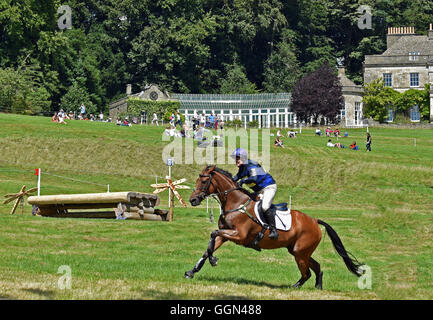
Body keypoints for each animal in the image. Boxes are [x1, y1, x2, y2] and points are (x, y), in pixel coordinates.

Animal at [184, 166, 362, 288]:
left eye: (204, 181)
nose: (192, 200)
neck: (236, 203)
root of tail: (315, 220)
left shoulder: (239, 235)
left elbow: (213, 234)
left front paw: (213, 260)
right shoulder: (226, 234)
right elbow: (209, 246)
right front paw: (192, 271)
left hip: (300, 252)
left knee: (307, 273)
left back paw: (295, 287)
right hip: (298, 251)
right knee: (316, 267)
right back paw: (317, 287)